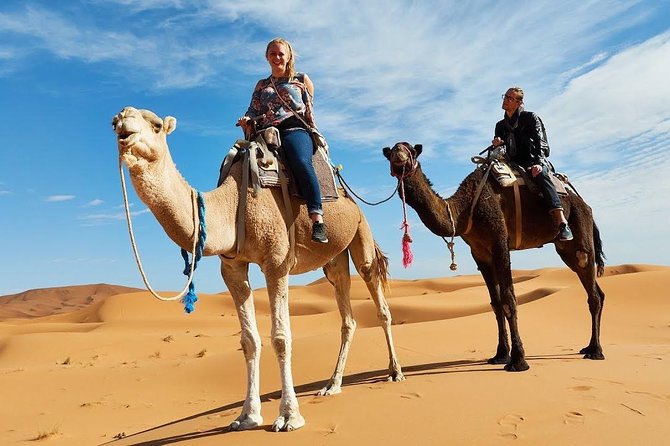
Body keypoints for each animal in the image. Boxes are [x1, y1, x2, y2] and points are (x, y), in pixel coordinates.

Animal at [112, 106, 404, 432]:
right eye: (114, 122)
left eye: (156, 125)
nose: (123, 122)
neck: (231, 206)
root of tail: (349, 196)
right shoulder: (233, 268)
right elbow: (249, 340)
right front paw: (247, 416)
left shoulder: (276, 262)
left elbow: (281, 337)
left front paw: (289, 416)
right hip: (334, 260)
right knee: (347, 315)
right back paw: (332, 384)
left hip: (361, 232)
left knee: (377, 297)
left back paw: (394, 372)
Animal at [383, 142, 605, 372]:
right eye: (391, 151)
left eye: (410, 150)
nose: (399, 154)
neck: (464, 211)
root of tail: (585, 205)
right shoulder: (480, 254)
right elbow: (496, 303)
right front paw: (500, 354)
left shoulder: (500, 242)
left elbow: (509, 300)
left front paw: (518, 360)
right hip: (565, 249)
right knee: (595, 289)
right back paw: (589, 347)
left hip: (580, 231)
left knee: (591, 285)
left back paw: (596, 351)